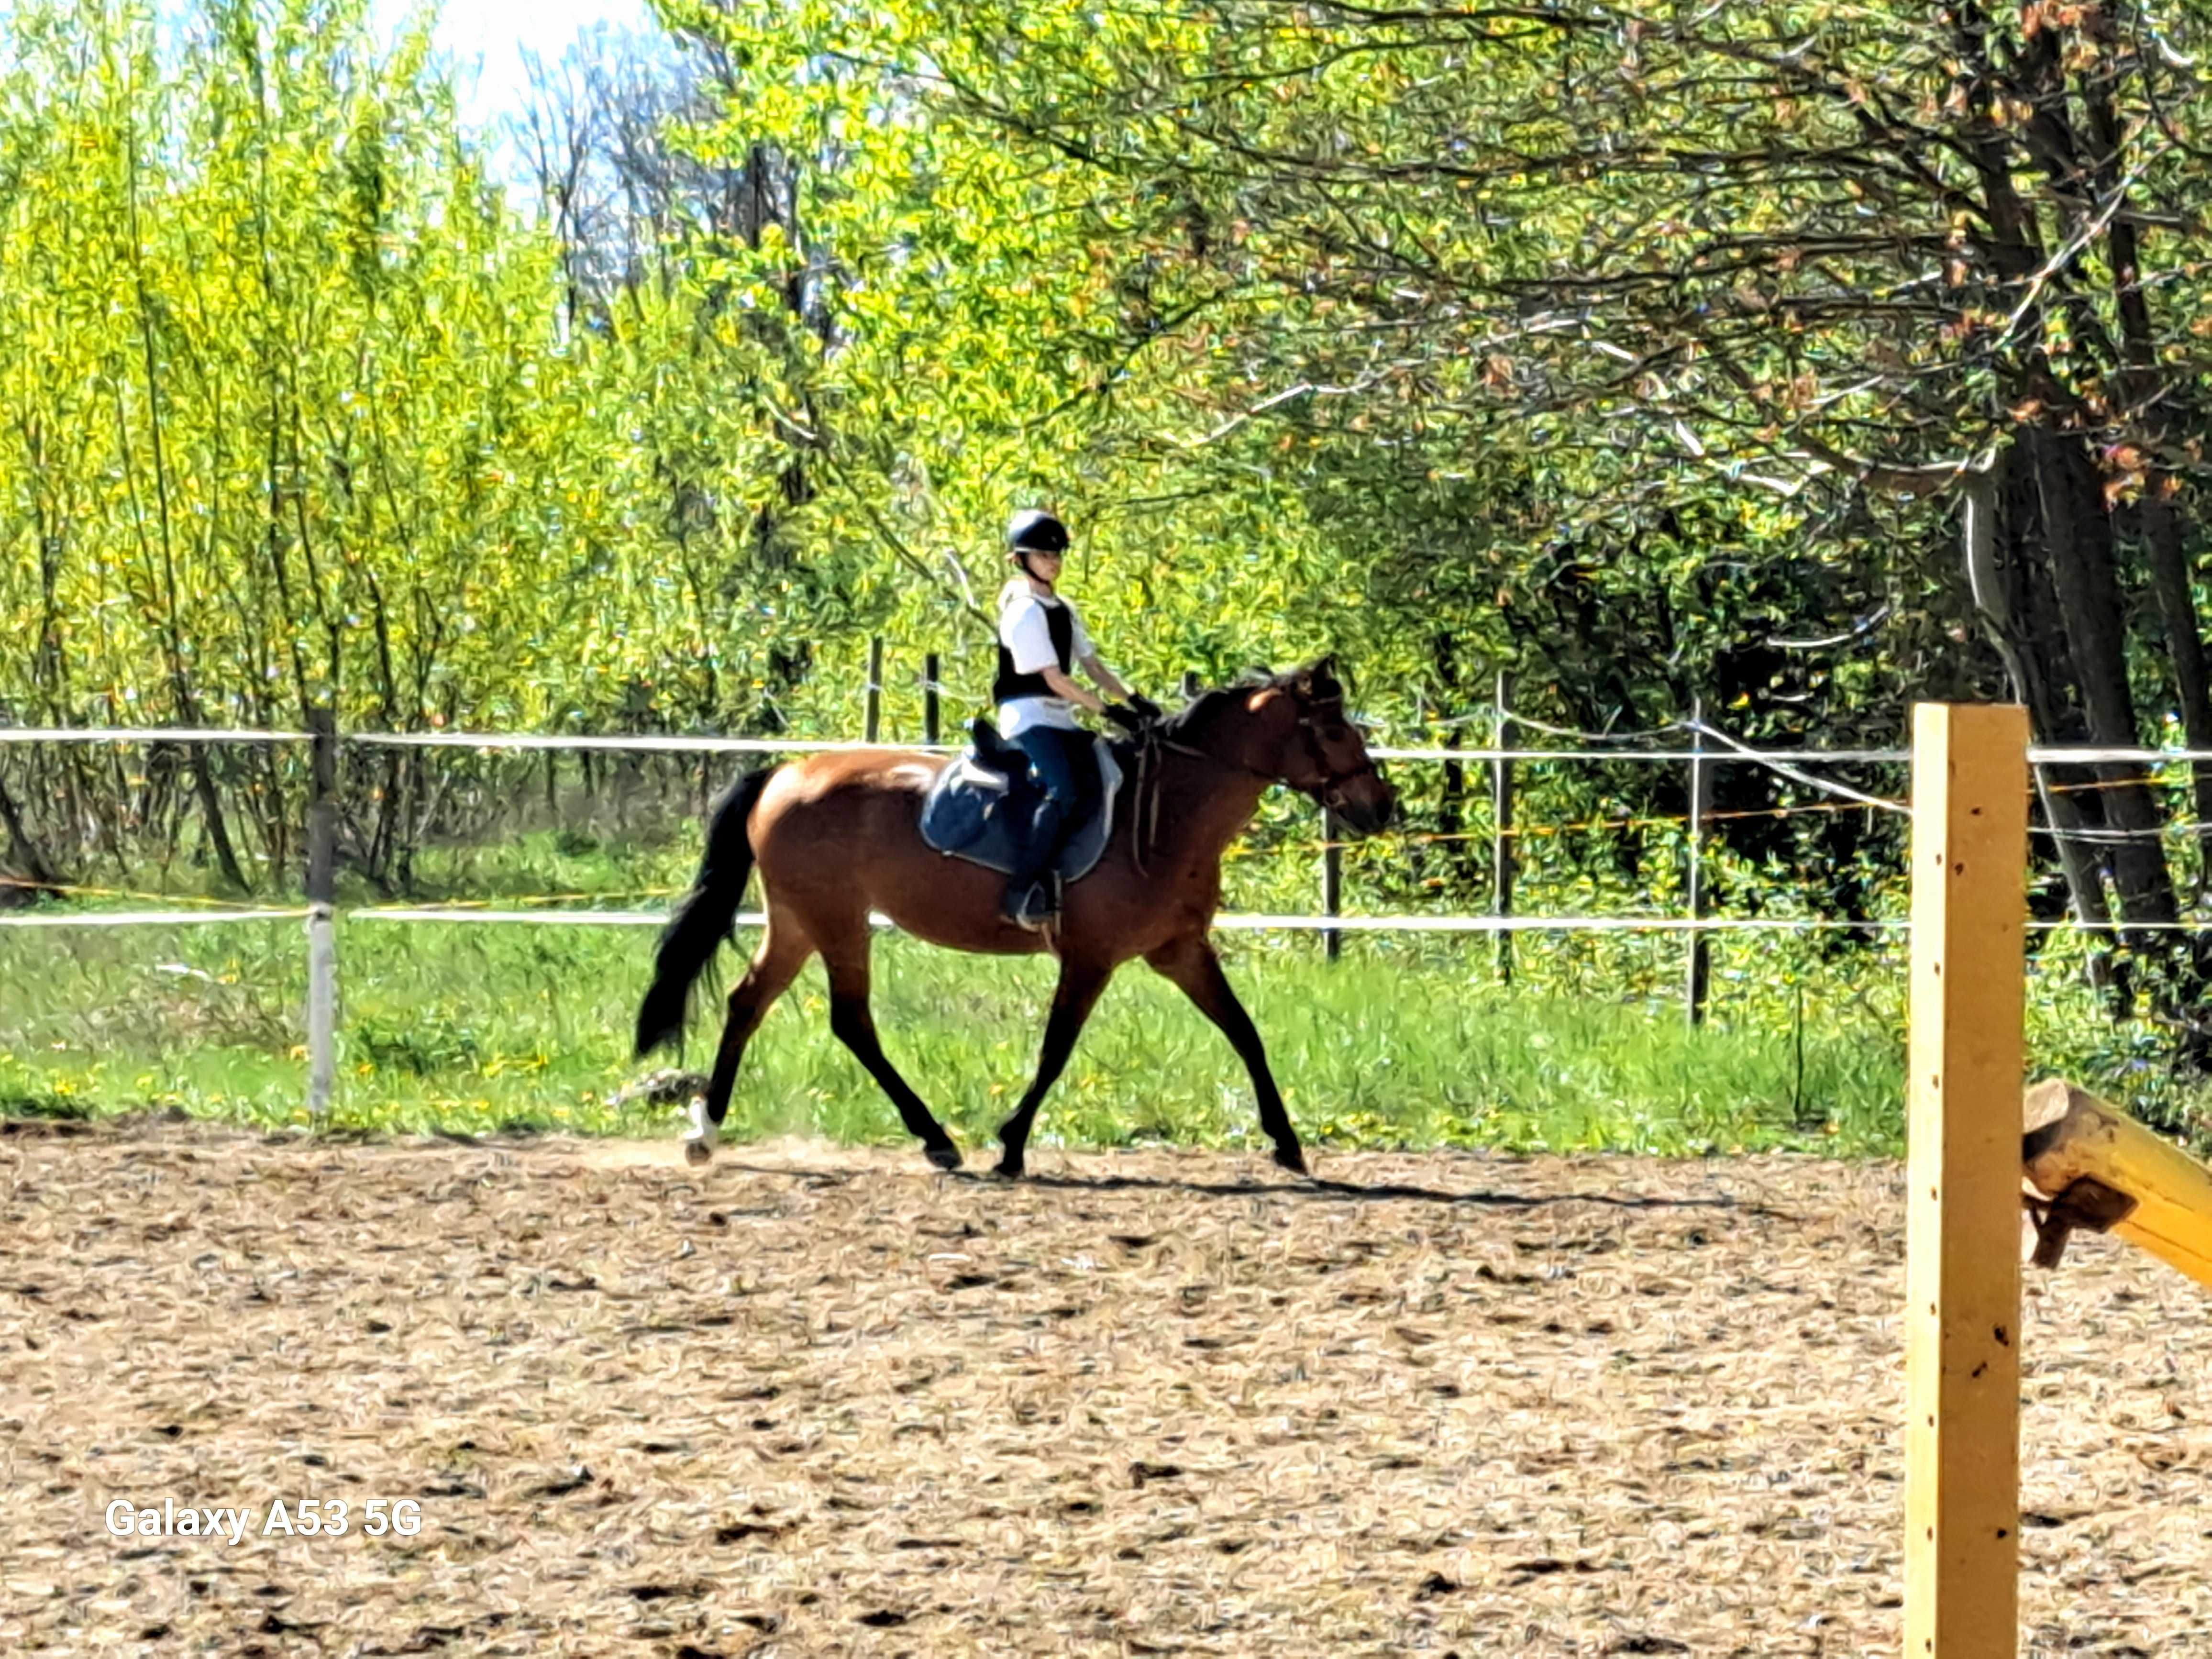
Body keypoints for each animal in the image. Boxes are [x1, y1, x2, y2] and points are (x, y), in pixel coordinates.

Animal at [632, 664, 1389, 1185]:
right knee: (849, 1020)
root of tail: (786, 773)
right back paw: (935, 1138)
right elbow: (1056, 1050)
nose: (1383, 807)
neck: (1168, 812)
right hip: (836, 922)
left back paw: (707, 1132)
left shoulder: (1180, 951)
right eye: (1331, 731)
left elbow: (1245, 1033)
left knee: (748, 1004)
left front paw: (1286, 1143)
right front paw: (1012, 1146)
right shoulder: (1090, 957)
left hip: (796, 922)